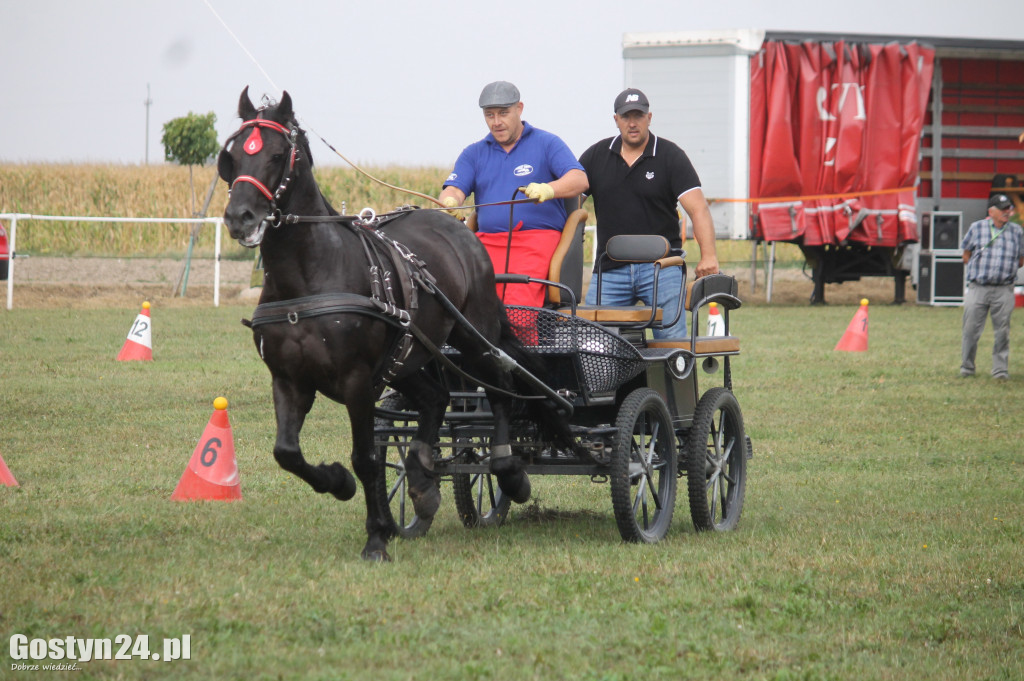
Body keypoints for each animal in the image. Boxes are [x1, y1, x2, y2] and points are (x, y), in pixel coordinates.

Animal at [216, 87, 561, 561]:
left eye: (277, 154)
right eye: (232, 156)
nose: (240, 217)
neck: (309, 275)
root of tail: (458, 227)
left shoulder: (358, 380)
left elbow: (365, 457)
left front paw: (377, 535)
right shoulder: (288, 379)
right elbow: (286, 452)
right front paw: (338, 482)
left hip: (473, 337)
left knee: (499, 386)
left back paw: (507, 468)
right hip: (411, 356)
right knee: (436, 398)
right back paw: (421, 479)